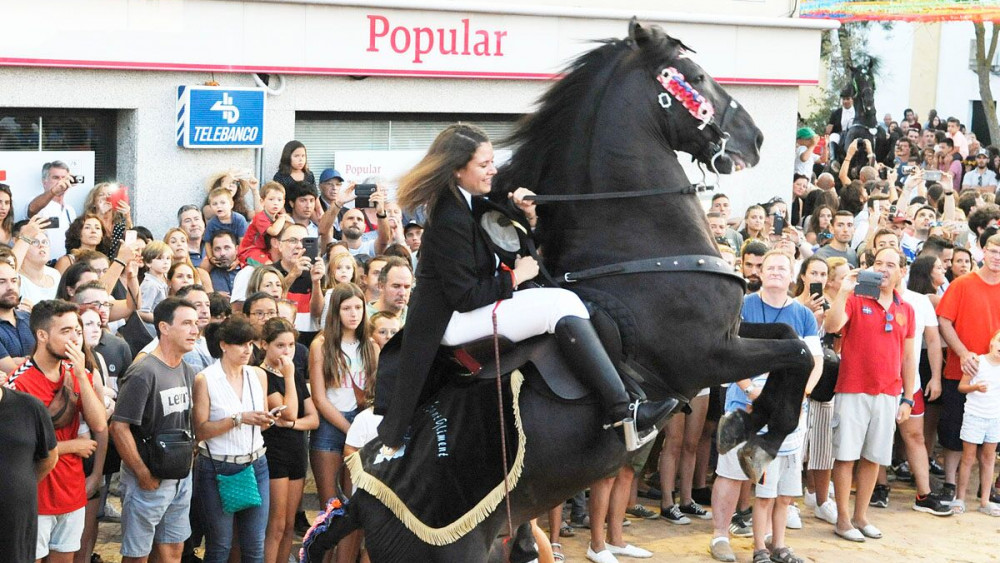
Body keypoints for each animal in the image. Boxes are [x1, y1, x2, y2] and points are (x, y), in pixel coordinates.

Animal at [302, 18, 812, 563]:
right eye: (694, 76)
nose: (754, 138)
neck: (634, 245)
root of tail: (355, 502)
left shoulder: (732, 334)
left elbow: (796, 341)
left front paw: (749, 427)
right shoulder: (705, 356)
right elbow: (800, 353)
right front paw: (758, 439)